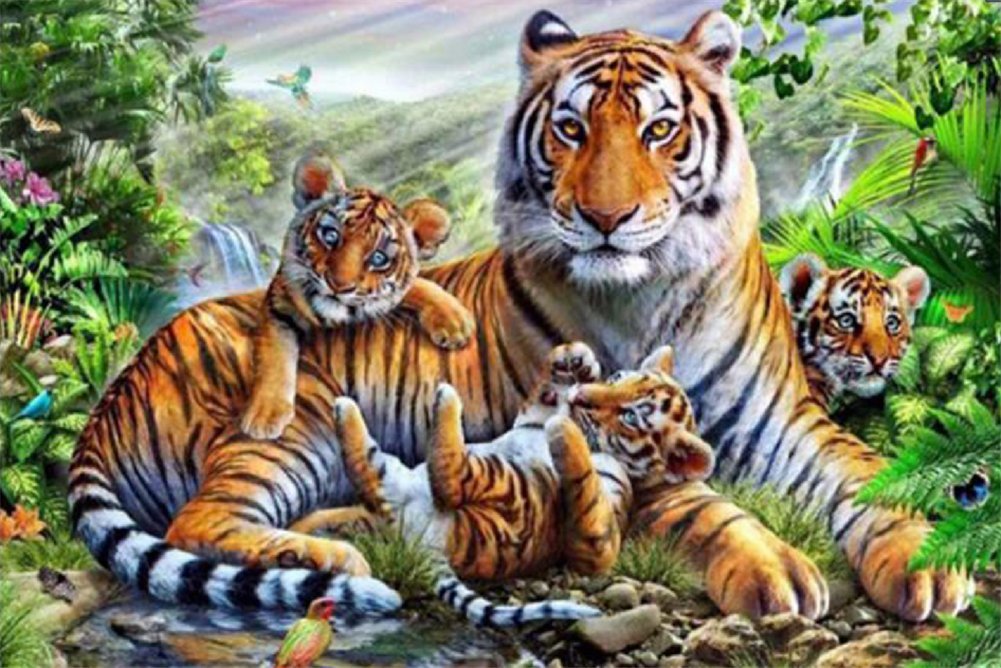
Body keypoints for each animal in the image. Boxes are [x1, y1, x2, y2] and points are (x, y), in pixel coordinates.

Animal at [240, 153, 475, 439]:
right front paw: (265, 415)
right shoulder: (278, 305)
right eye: (330, 236)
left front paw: (455, 321)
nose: (338, 285)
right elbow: (274, 355)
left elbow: (415, 286)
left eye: (378, 258)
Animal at [324, 342, 713, 625]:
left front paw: (564, 429)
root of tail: (422, 543)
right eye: (617, 377)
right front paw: (576, 358)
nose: (580, 395)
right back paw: (345, 408)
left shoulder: (600, 541)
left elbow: (586, 487)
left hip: (509, 491)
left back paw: (445, 398)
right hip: (396, 476)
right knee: (368, 472)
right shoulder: (531, 417)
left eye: (630, 416)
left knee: (453, 477)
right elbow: (541, 396)